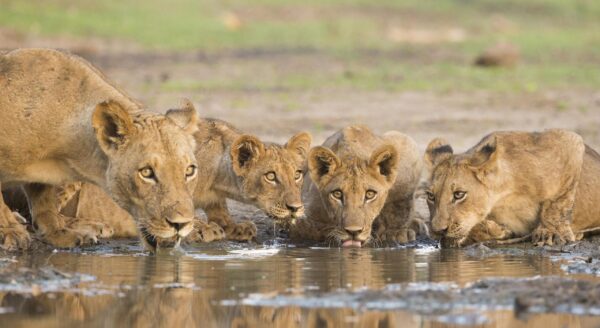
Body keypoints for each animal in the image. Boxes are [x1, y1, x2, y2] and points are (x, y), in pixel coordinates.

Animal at [0, 47, 199, 250]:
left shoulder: (44, 180)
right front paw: (11, 231)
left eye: (189, 170)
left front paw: (58, 232)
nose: (181, 224)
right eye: (146, 172)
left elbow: (44, 199)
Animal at [290, 125, 422, 246]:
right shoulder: (303, 217)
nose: (353, 232)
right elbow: (311, 228)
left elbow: (401, 208)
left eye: (370, 194)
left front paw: (396, 233)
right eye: (337, 194)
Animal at [422, 129, 600, 247]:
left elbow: (557, 203)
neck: (502, 196)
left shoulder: (570, 141)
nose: (438, 230)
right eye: (430, 196)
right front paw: (495, 230)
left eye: (459, 194)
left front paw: (549, 232)